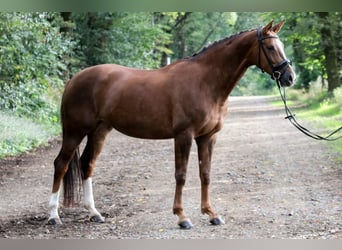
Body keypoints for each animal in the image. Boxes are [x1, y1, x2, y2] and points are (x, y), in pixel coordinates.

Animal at [48, 20, 296, 229]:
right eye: (270, 48)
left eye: (281, 45)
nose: (290, 77)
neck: (204, 82)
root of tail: (74, 79)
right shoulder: (184, 135)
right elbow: (181, 175)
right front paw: (182, 217)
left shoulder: (208, 137)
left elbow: (205, 174)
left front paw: (211, 214)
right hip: (75, 131)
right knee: (61, 164)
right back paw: (54, 216)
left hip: (99, 131)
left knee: (87, 164)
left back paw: (94, 213)